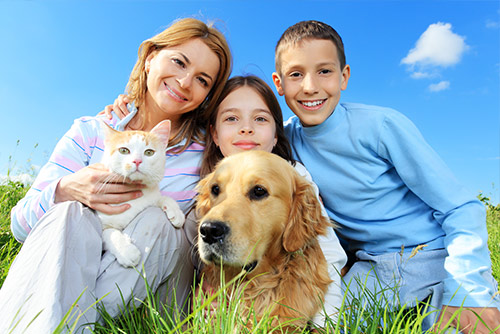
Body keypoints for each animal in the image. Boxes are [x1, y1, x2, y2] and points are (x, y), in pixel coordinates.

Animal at [96, 118, 185, 268]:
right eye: (124, 150)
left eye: (149, 152)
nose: (137, 161)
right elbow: (109, 233)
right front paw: (126, 252)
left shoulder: (152, 196)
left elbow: (163, 198)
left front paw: (175, 212)